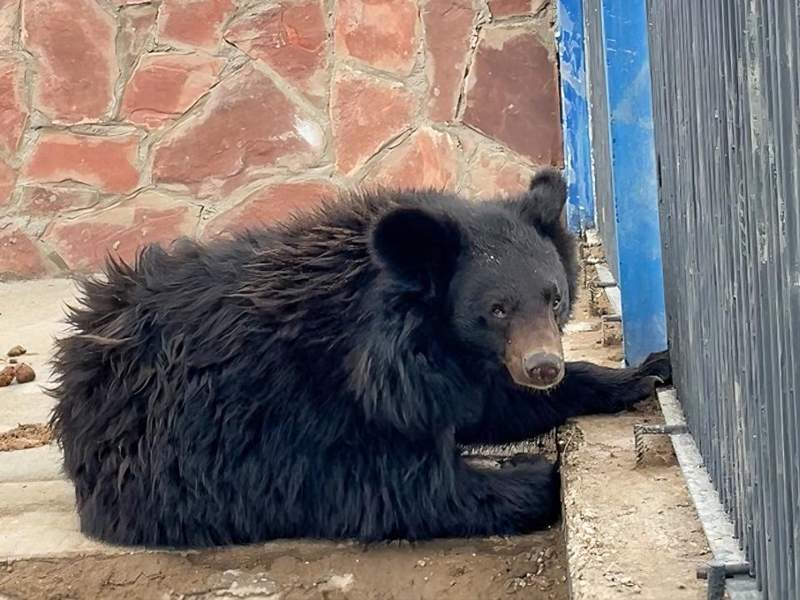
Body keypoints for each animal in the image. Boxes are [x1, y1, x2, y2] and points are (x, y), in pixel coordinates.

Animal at [50, 170, 668, 548]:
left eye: (553, 297)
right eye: (495, 310)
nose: (543, 366)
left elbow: (490, 404)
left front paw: (643, 373)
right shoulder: (298, 407)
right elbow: (388, 486)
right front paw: (534, 472)